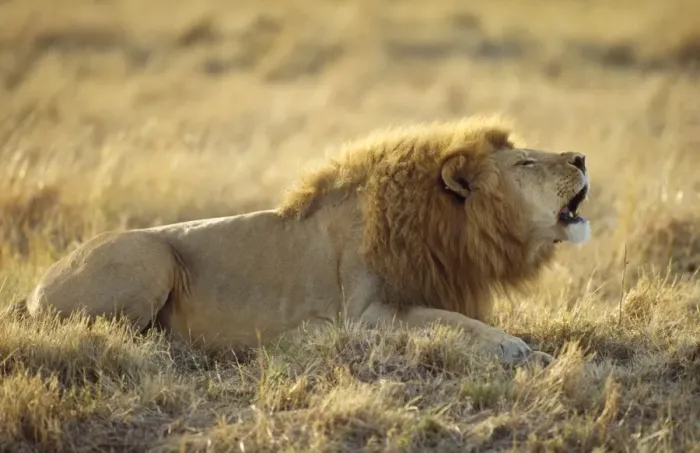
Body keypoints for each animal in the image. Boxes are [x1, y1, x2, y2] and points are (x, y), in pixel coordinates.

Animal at [22, 116, 590, 366]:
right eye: (526, 163)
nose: (582, 157)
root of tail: (33, 290)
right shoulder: (365, 315)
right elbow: (452, 323)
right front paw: (516, 348)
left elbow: (456, 318)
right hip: (149, 256)